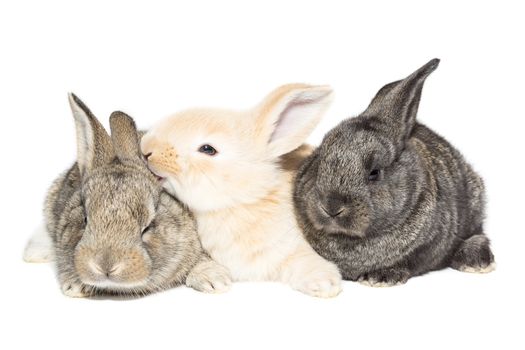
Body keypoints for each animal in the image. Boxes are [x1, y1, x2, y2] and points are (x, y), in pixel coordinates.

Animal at [141, 83, 342, 296]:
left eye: (207, 149)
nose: (146, 150)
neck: (239, 201)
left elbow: (303, 260)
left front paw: (326, 284)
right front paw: (213, 281)